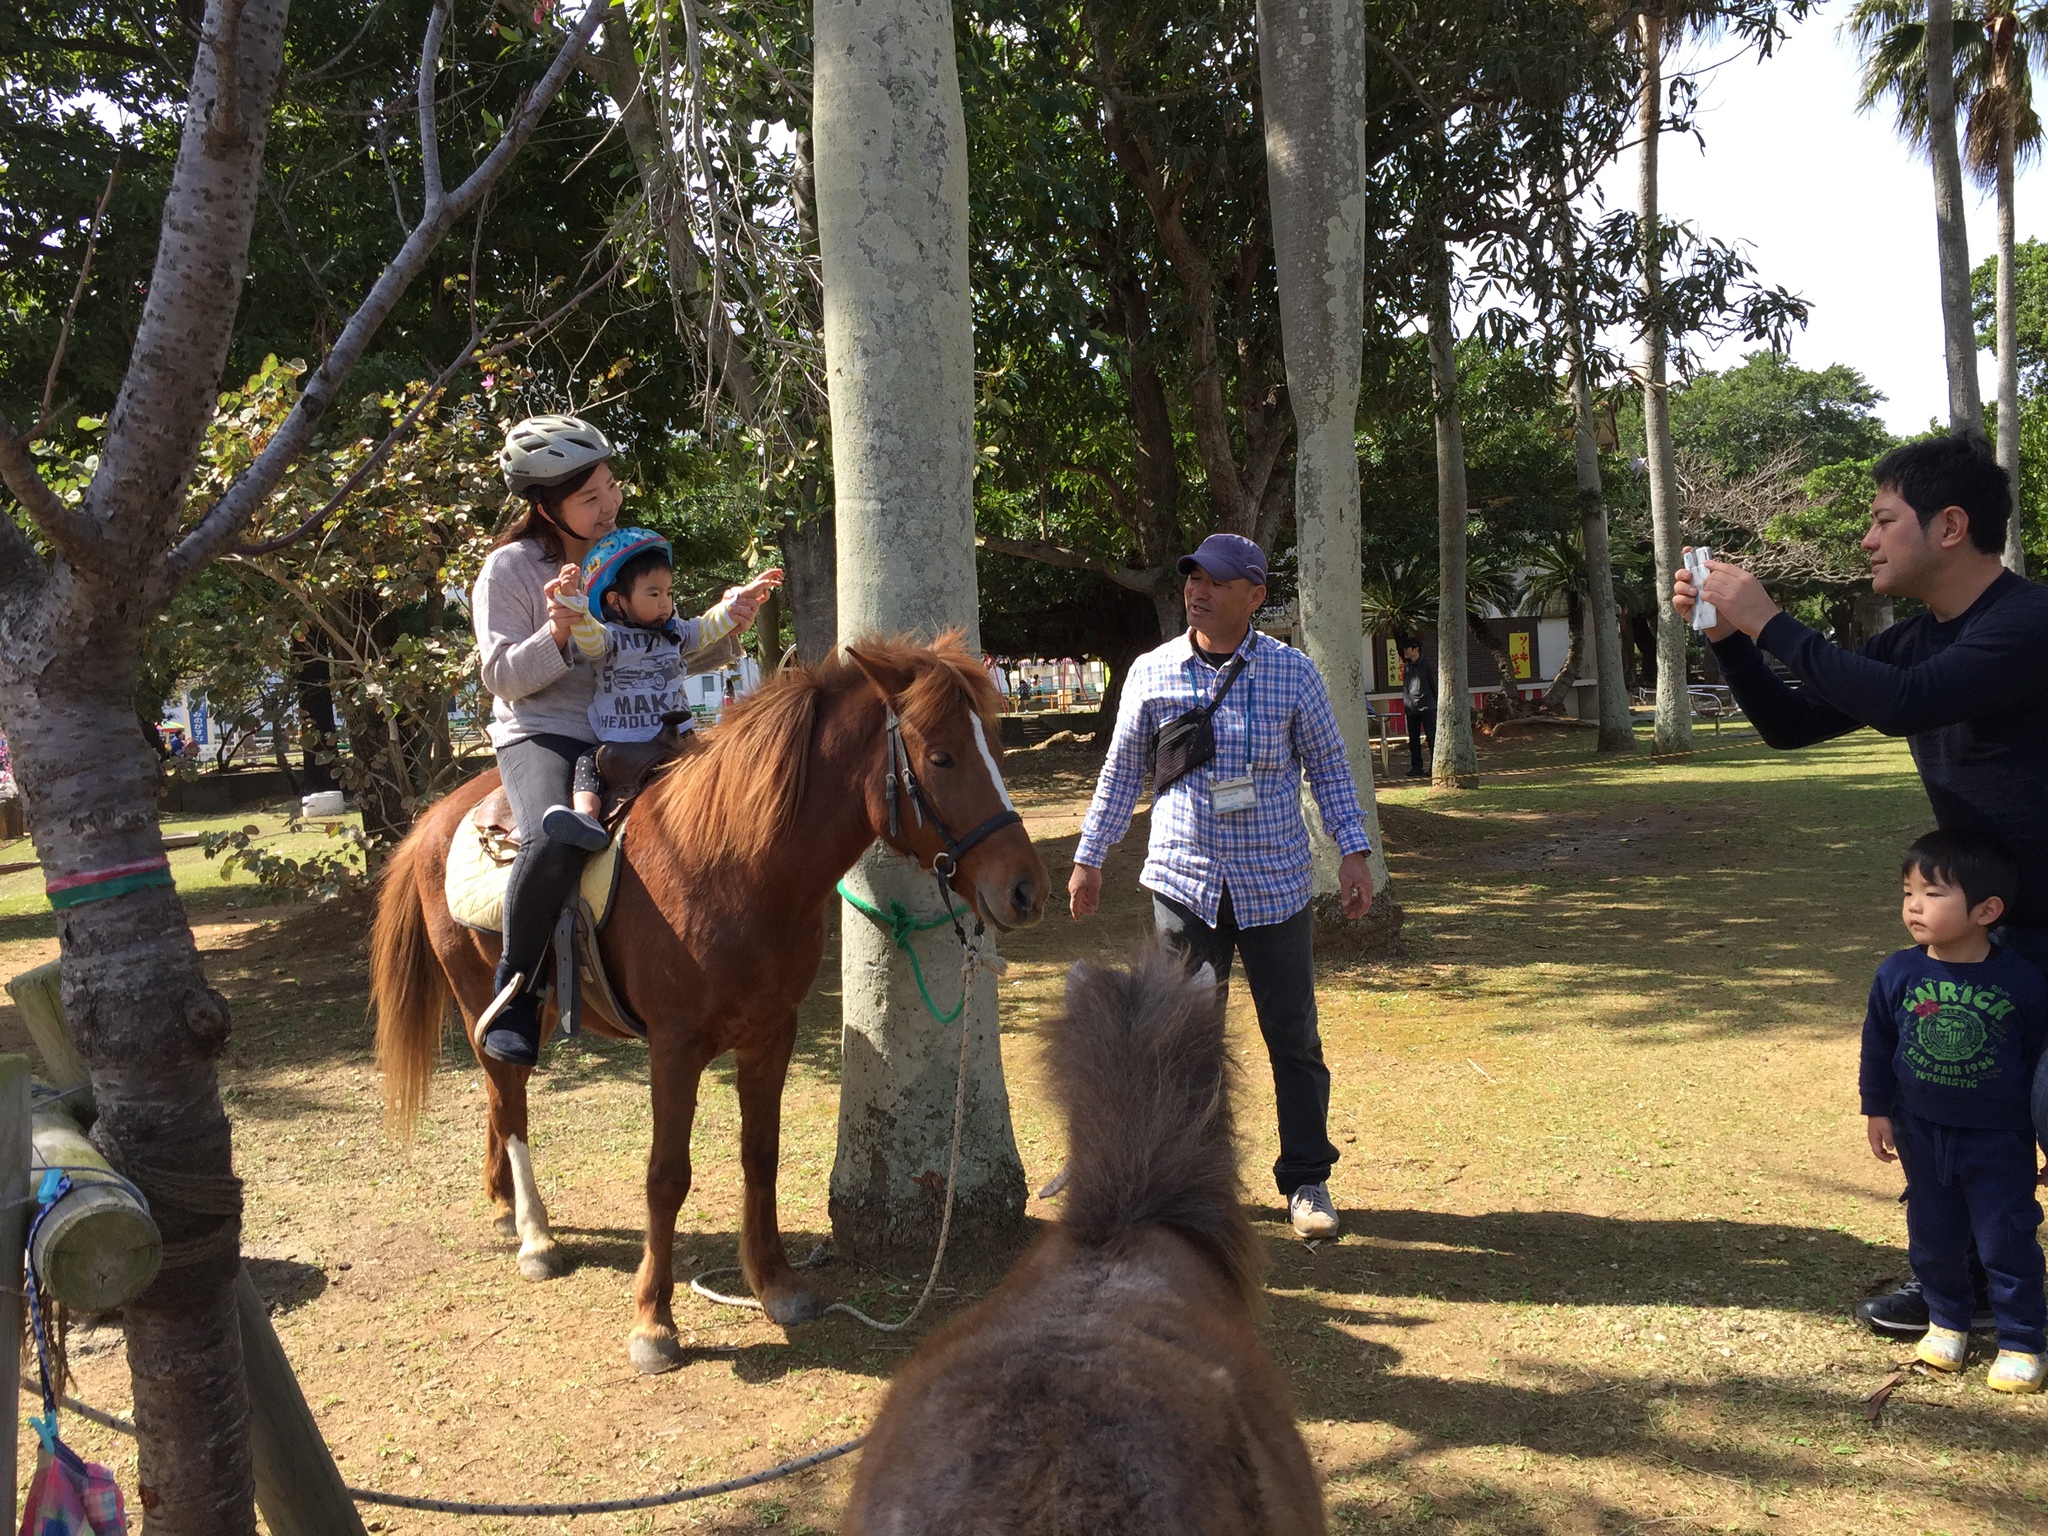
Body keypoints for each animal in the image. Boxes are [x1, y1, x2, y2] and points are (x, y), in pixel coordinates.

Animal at [368, 630, 1048, 1376]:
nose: (1026, 889)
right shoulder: (675, 1046)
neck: (732, 863)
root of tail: (433, 818)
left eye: (993, 746)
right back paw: (535, 1236)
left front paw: (774, 1283)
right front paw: (653, 1322)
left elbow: (761, 1154)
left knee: (500, 1094)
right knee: (510, 1097)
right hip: (477, 997)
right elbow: (667, 1175)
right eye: (942, 756)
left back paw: (503, 1203)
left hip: (533, 1008)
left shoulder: (771, 1034)